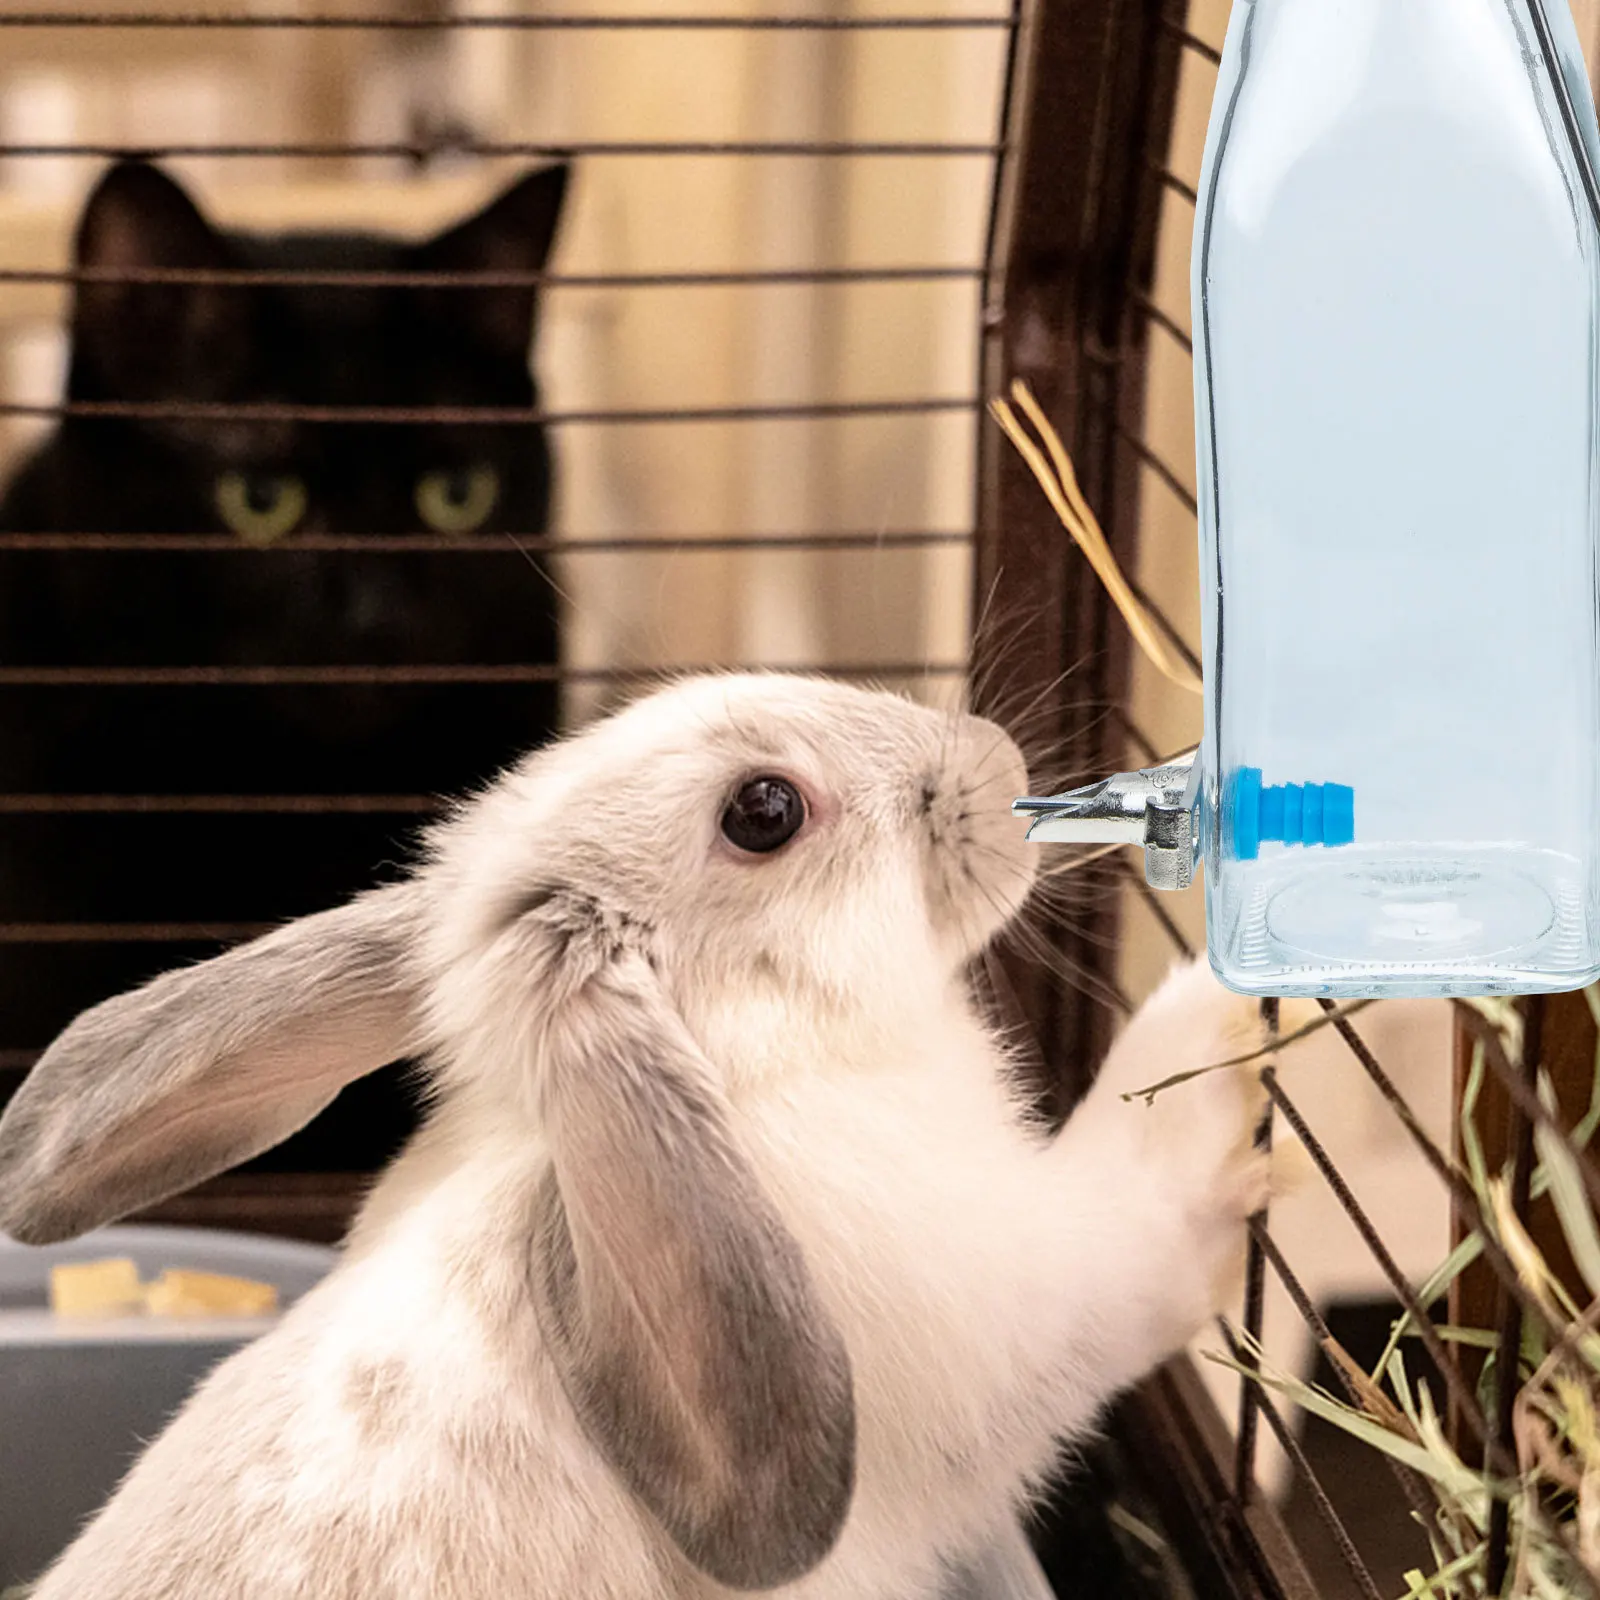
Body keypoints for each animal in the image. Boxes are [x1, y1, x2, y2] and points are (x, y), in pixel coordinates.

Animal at [0, 671, 1274, 1600]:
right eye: (763, 811)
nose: (993, 754)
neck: (748, 1065)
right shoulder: (1043, 1310)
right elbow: (1141, 1211)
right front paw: (1213, 1022)